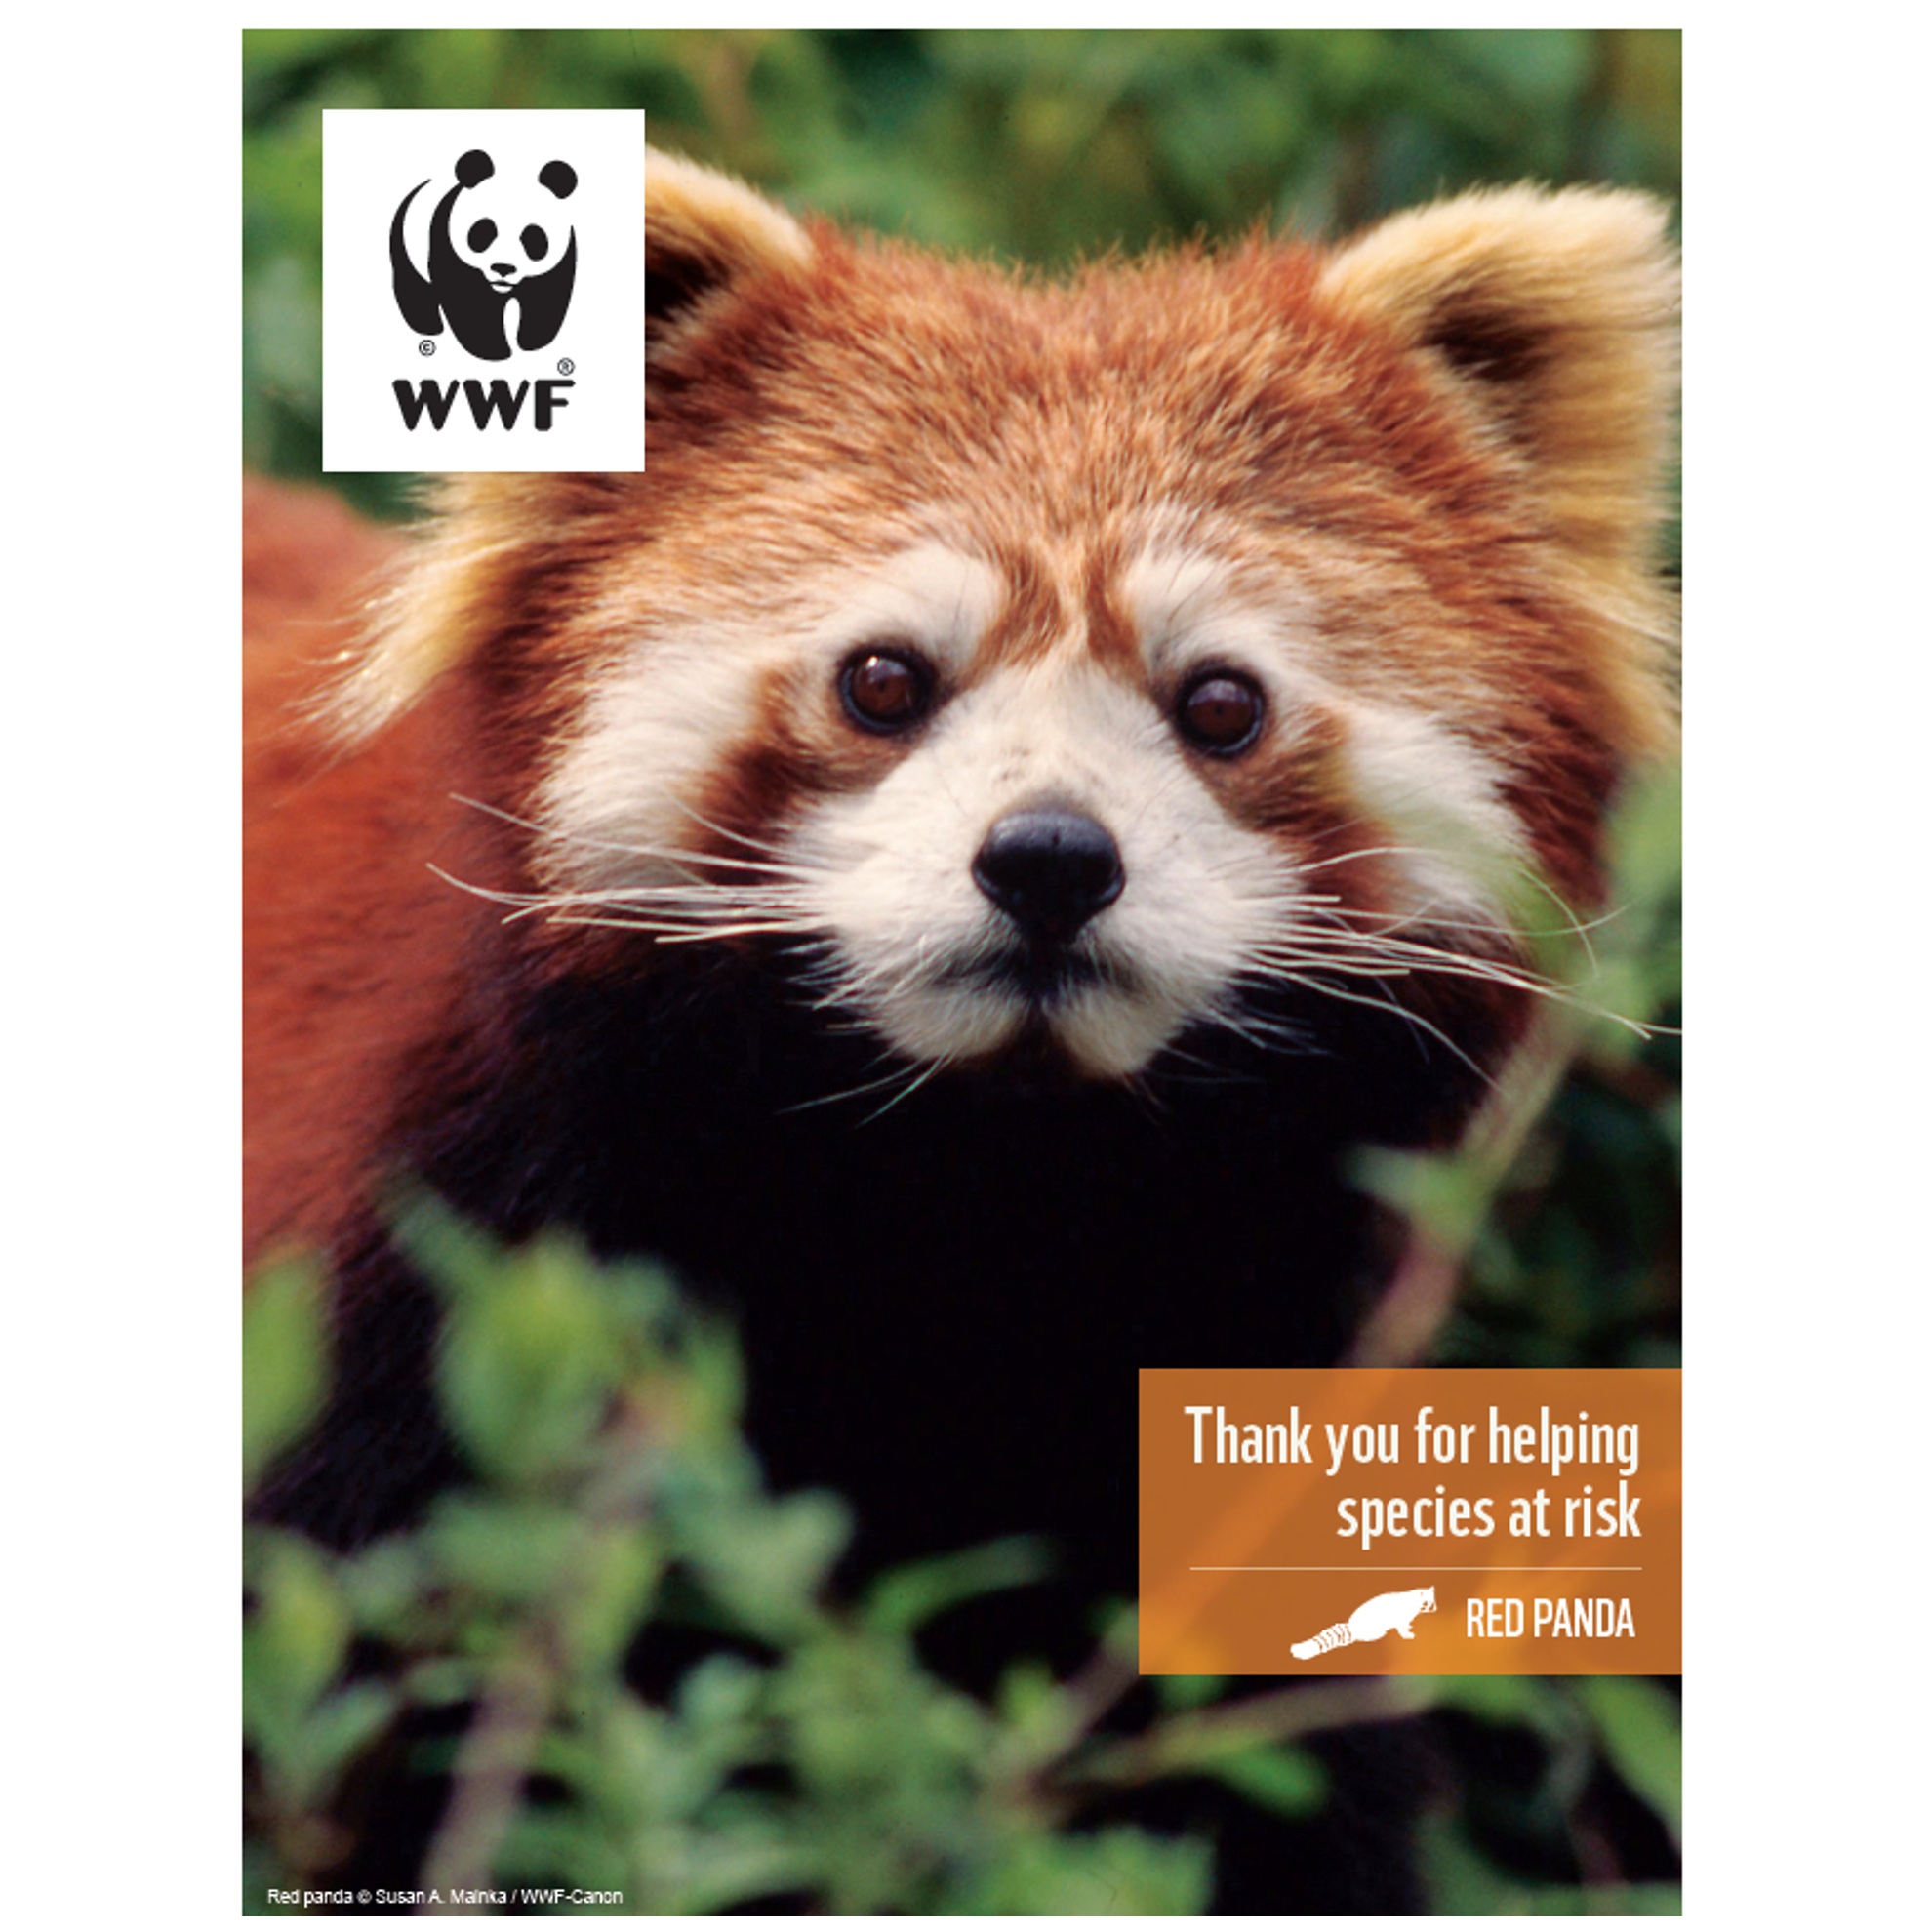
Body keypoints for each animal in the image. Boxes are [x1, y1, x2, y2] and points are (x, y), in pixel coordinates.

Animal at [389, 147, 577, 362]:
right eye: (484, 231)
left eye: (533, 237)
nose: (503, 268)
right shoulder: (448, 247)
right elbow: (471, 303)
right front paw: (494, 352)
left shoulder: (560, 260)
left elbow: (546, 297)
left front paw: (531, 343)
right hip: (405, 243)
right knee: (412, 286)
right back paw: (429, 328)